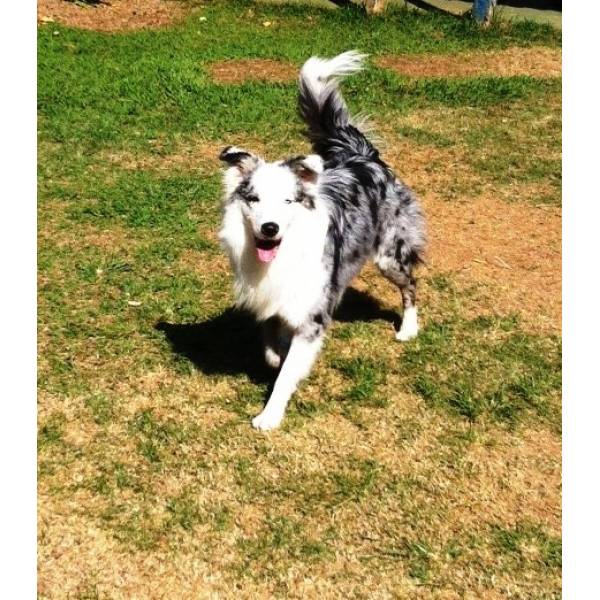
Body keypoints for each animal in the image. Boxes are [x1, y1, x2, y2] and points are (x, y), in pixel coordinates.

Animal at [218, 49, 424, 428]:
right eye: (253, 199)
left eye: (288, 201)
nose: (270, 228)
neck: (282, 256)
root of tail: (363, 156)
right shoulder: (273, 302)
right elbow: (272, 348)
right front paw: (277, 357)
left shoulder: (311, 315)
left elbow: (286, 372)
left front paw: (270, 416)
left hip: (389, 256)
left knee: (411, 285)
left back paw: (408, 329)